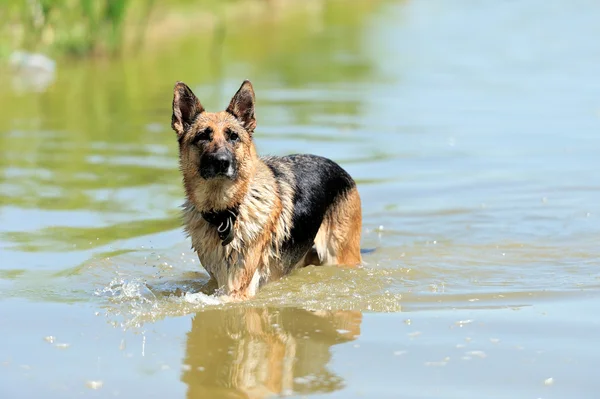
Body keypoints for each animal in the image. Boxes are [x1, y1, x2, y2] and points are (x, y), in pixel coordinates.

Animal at [171, 80, 364, 300]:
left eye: (233, 137)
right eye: (203, 136)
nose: (222, 161)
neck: (226, 213)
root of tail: (340, 169)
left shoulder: (238, 290)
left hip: (339, 255)